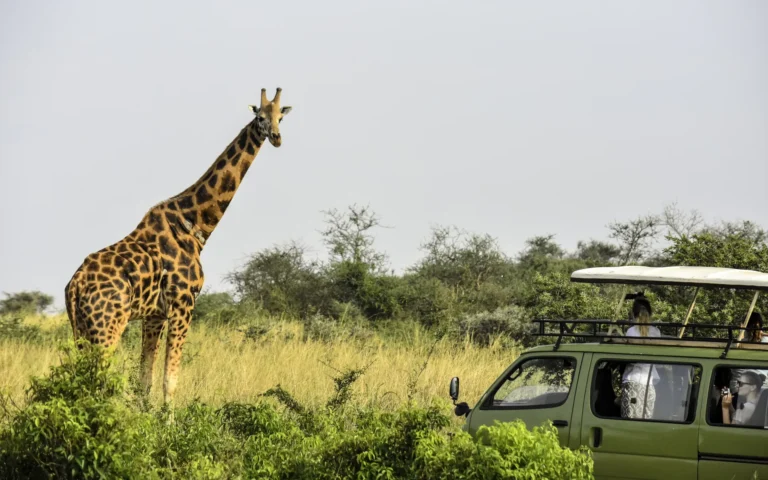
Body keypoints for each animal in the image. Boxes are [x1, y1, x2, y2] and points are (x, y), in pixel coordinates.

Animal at [64, 87, 292, 405]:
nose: (276, 137)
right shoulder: (184, 302)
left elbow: (144, 380)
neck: (195, 223)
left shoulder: (154, 313)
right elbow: (169, 380)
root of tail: (74, 286)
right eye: (260, 116)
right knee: (96, 381)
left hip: (81, 329)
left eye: (281, 116)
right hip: (107, 326)